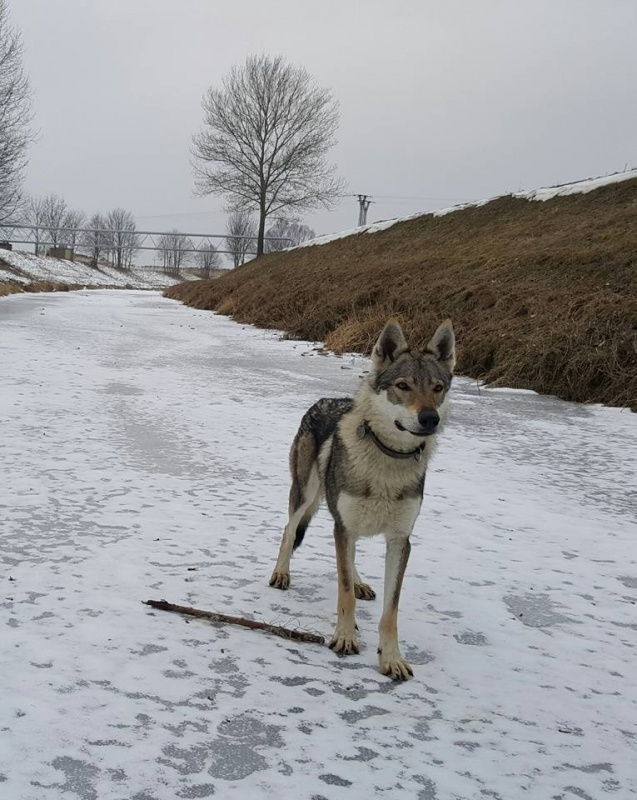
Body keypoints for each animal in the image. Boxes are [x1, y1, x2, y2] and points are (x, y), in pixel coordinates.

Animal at [268, 318, 452, 680]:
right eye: (403, 386)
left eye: (437, 388)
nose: (430, 419)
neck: (388, 460)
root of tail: (325, 399)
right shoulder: (345, 526)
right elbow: (343, 594)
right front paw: (344, 637)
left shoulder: (399, 540)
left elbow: (390, 610)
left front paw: (391, 658)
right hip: (306, 494)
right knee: (288, 530)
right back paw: (282, 574)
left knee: (347, 557)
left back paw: (361, 582)